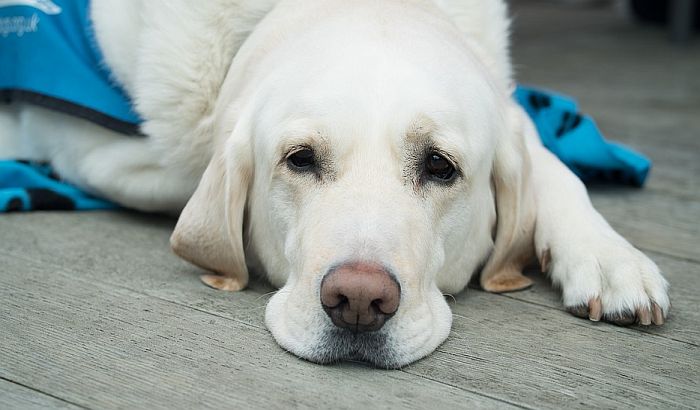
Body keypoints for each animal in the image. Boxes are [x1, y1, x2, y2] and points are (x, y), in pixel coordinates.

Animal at [0, 0, 668, 368]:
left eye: (440, 167)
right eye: (299, 160)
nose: (359, 301)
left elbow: (551, 166)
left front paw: (610, 258)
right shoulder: (97, 151)